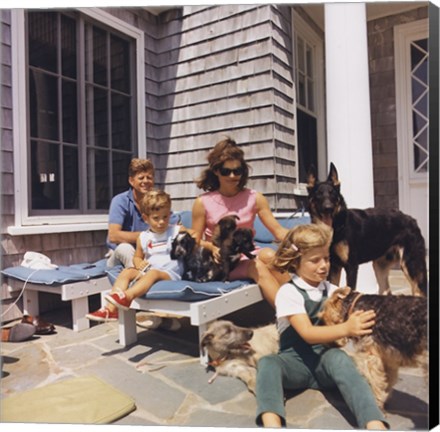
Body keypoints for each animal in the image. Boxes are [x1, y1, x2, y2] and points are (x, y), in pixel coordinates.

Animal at [306, 163, 426, 296]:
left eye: (332, 193)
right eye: (318, 194)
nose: (328, 208)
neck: (337, 227)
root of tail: (412, 220)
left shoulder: (351, 267)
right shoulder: (333, 267)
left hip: (410, 265)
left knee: (419, 292)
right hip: (380, 266)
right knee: (386, 291)